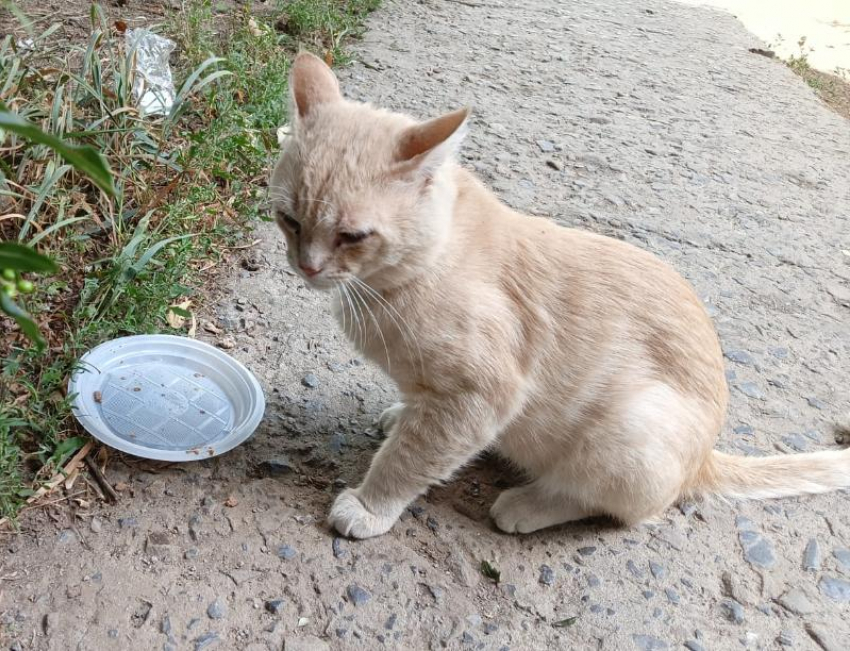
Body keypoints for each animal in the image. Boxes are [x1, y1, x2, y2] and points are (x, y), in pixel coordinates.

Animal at [270, 52, 848, 540]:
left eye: (352, 236)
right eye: (290, 220)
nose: (307, 266)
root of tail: (705, 455)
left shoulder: (476, 397)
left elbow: (410, 458)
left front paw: (370, 506)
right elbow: (415, 429)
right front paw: (399, 416)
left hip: (631, 432)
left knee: (623, 507)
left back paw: (528, 505)